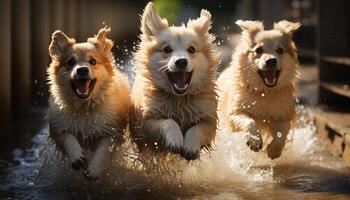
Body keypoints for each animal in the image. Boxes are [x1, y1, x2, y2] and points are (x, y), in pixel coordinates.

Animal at [47, 27, 131, 180]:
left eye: (92, 61)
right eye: (70, 62)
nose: (82, 69)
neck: (84, 107)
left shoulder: (112, 132)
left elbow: (103, 151)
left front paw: (94, 169)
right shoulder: (58, 129)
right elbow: (68, 138)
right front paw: (77, 157)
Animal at [130, 2, 220, 160]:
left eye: (191, 49)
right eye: (167, 49)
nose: (181, 61)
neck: (179, 100)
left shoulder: (209, 121)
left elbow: (196, 129)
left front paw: (190, 146)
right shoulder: (145, 123)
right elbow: (169, 122)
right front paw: (176, 139)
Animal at [217, 19, 300, 159]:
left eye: (280, 50)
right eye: (259, 50)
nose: (271, 61)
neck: (264, 92)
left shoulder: (283, 114)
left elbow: (282, 132)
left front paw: (274, 150)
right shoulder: (235, 112)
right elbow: (249, 121)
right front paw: (254, 140)